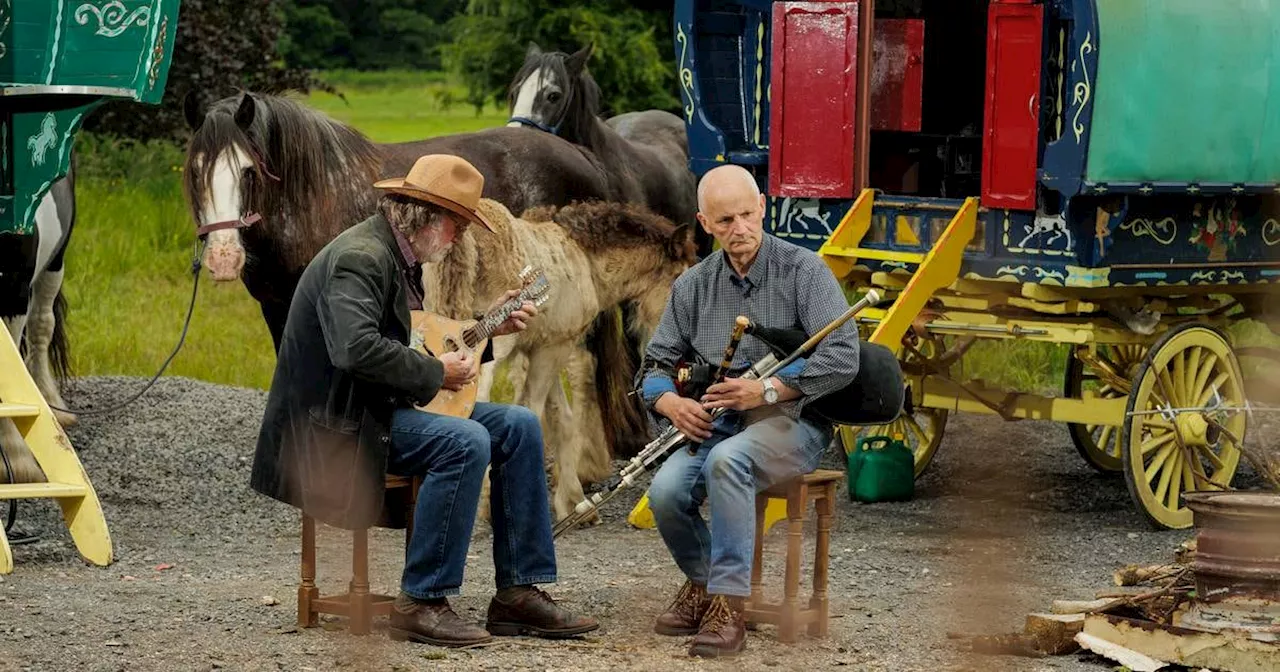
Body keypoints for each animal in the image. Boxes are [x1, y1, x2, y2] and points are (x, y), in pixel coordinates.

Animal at [424, 197, 696, 522]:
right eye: (679, 279)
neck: (585, 261)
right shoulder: (554, 348)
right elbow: (535, 412)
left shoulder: (544, 347)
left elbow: (561, 418)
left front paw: (573, 500)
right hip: (484, 348)